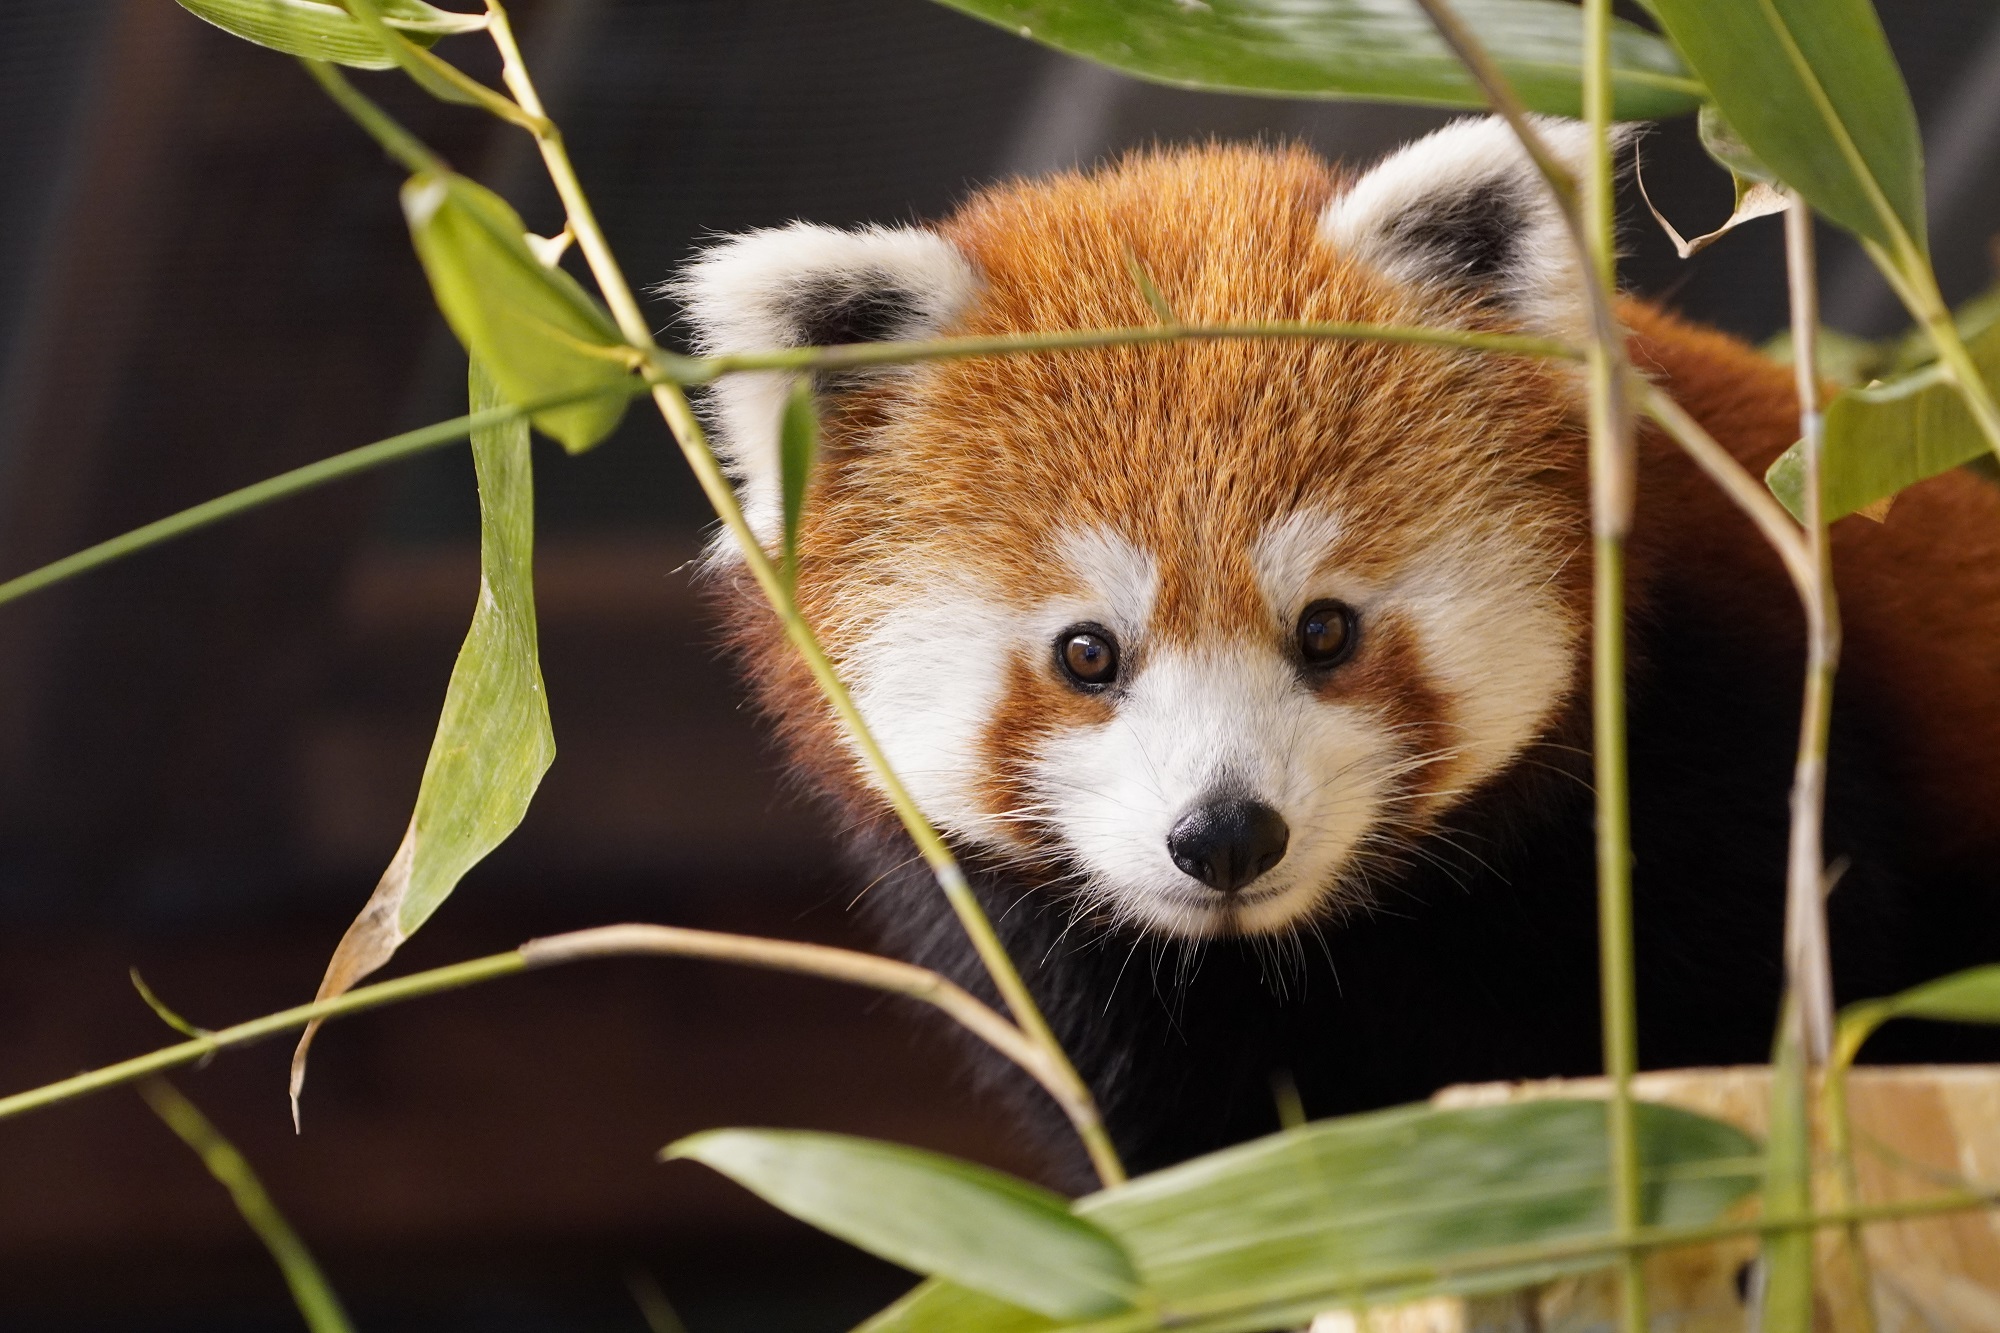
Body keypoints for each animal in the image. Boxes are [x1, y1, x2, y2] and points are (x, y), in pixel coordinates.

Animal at [672, 119, 2000, 1176]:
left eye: (1324, 628)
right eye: (1087, 654)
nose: (1223, 834)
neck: (1312, 951)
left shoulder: (1736, 750)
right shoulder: (1058, 976)